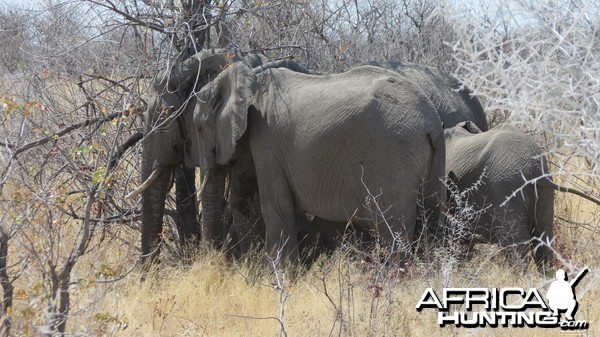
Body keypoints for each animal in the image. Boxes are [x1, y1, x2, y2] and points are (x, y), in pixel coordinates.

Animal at [185, 62, 448, 262]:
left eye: (199, 128)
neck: (251, 79)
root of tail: (432, 122)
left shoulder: (266, 139)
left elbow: (276, 206)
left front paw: (281, 277)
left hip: (393, 156)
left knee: (393, 228)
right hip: (432, 162)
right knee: (431, 219)